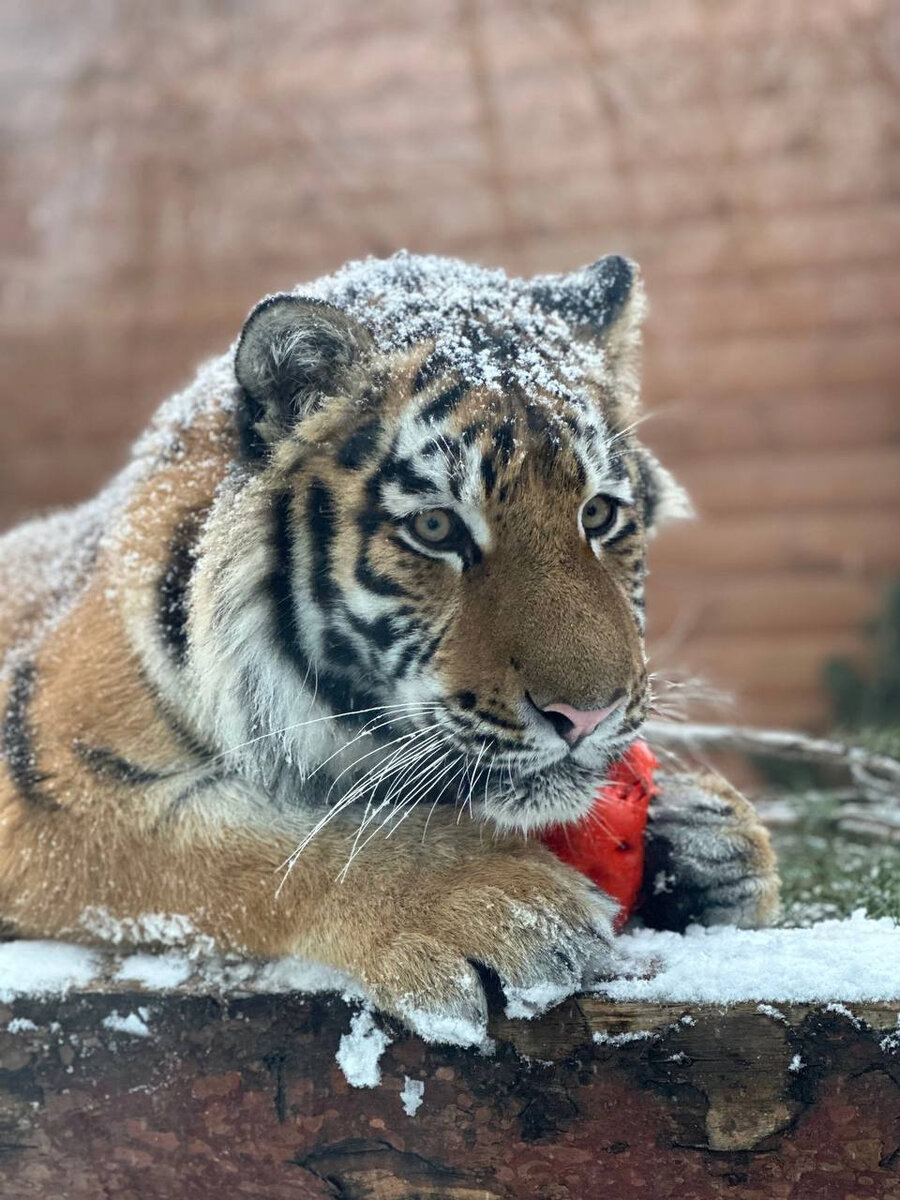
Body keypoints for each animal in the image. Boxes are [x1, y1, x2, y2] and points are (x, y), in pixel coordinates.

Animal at [0, 250, 777, 1041]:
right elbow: (270, 843)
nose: (586, 717)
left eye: (598, 514)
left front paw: (711, 845)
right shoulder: (52, 788)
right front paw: (501, 906)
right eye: (436, 528)